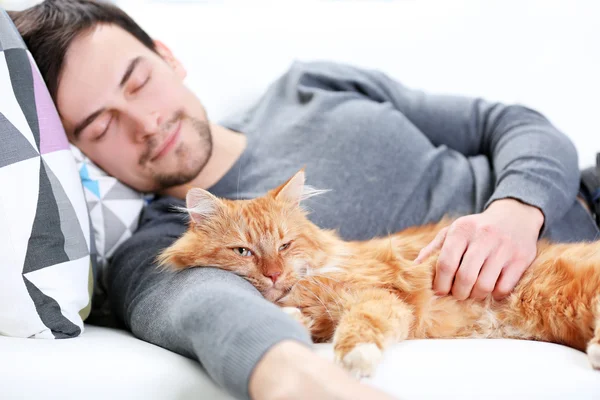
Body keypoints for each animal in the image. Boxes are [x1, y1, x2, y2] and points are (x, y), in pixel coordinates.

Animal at [158, 170, 600, 376]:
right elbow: (298, 318)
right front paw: (290, 315)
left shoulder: (379, 294)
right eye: (244, 252)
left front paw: (355, 357)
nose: (273, 275)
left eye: (285, 246)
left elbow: (363, 324)